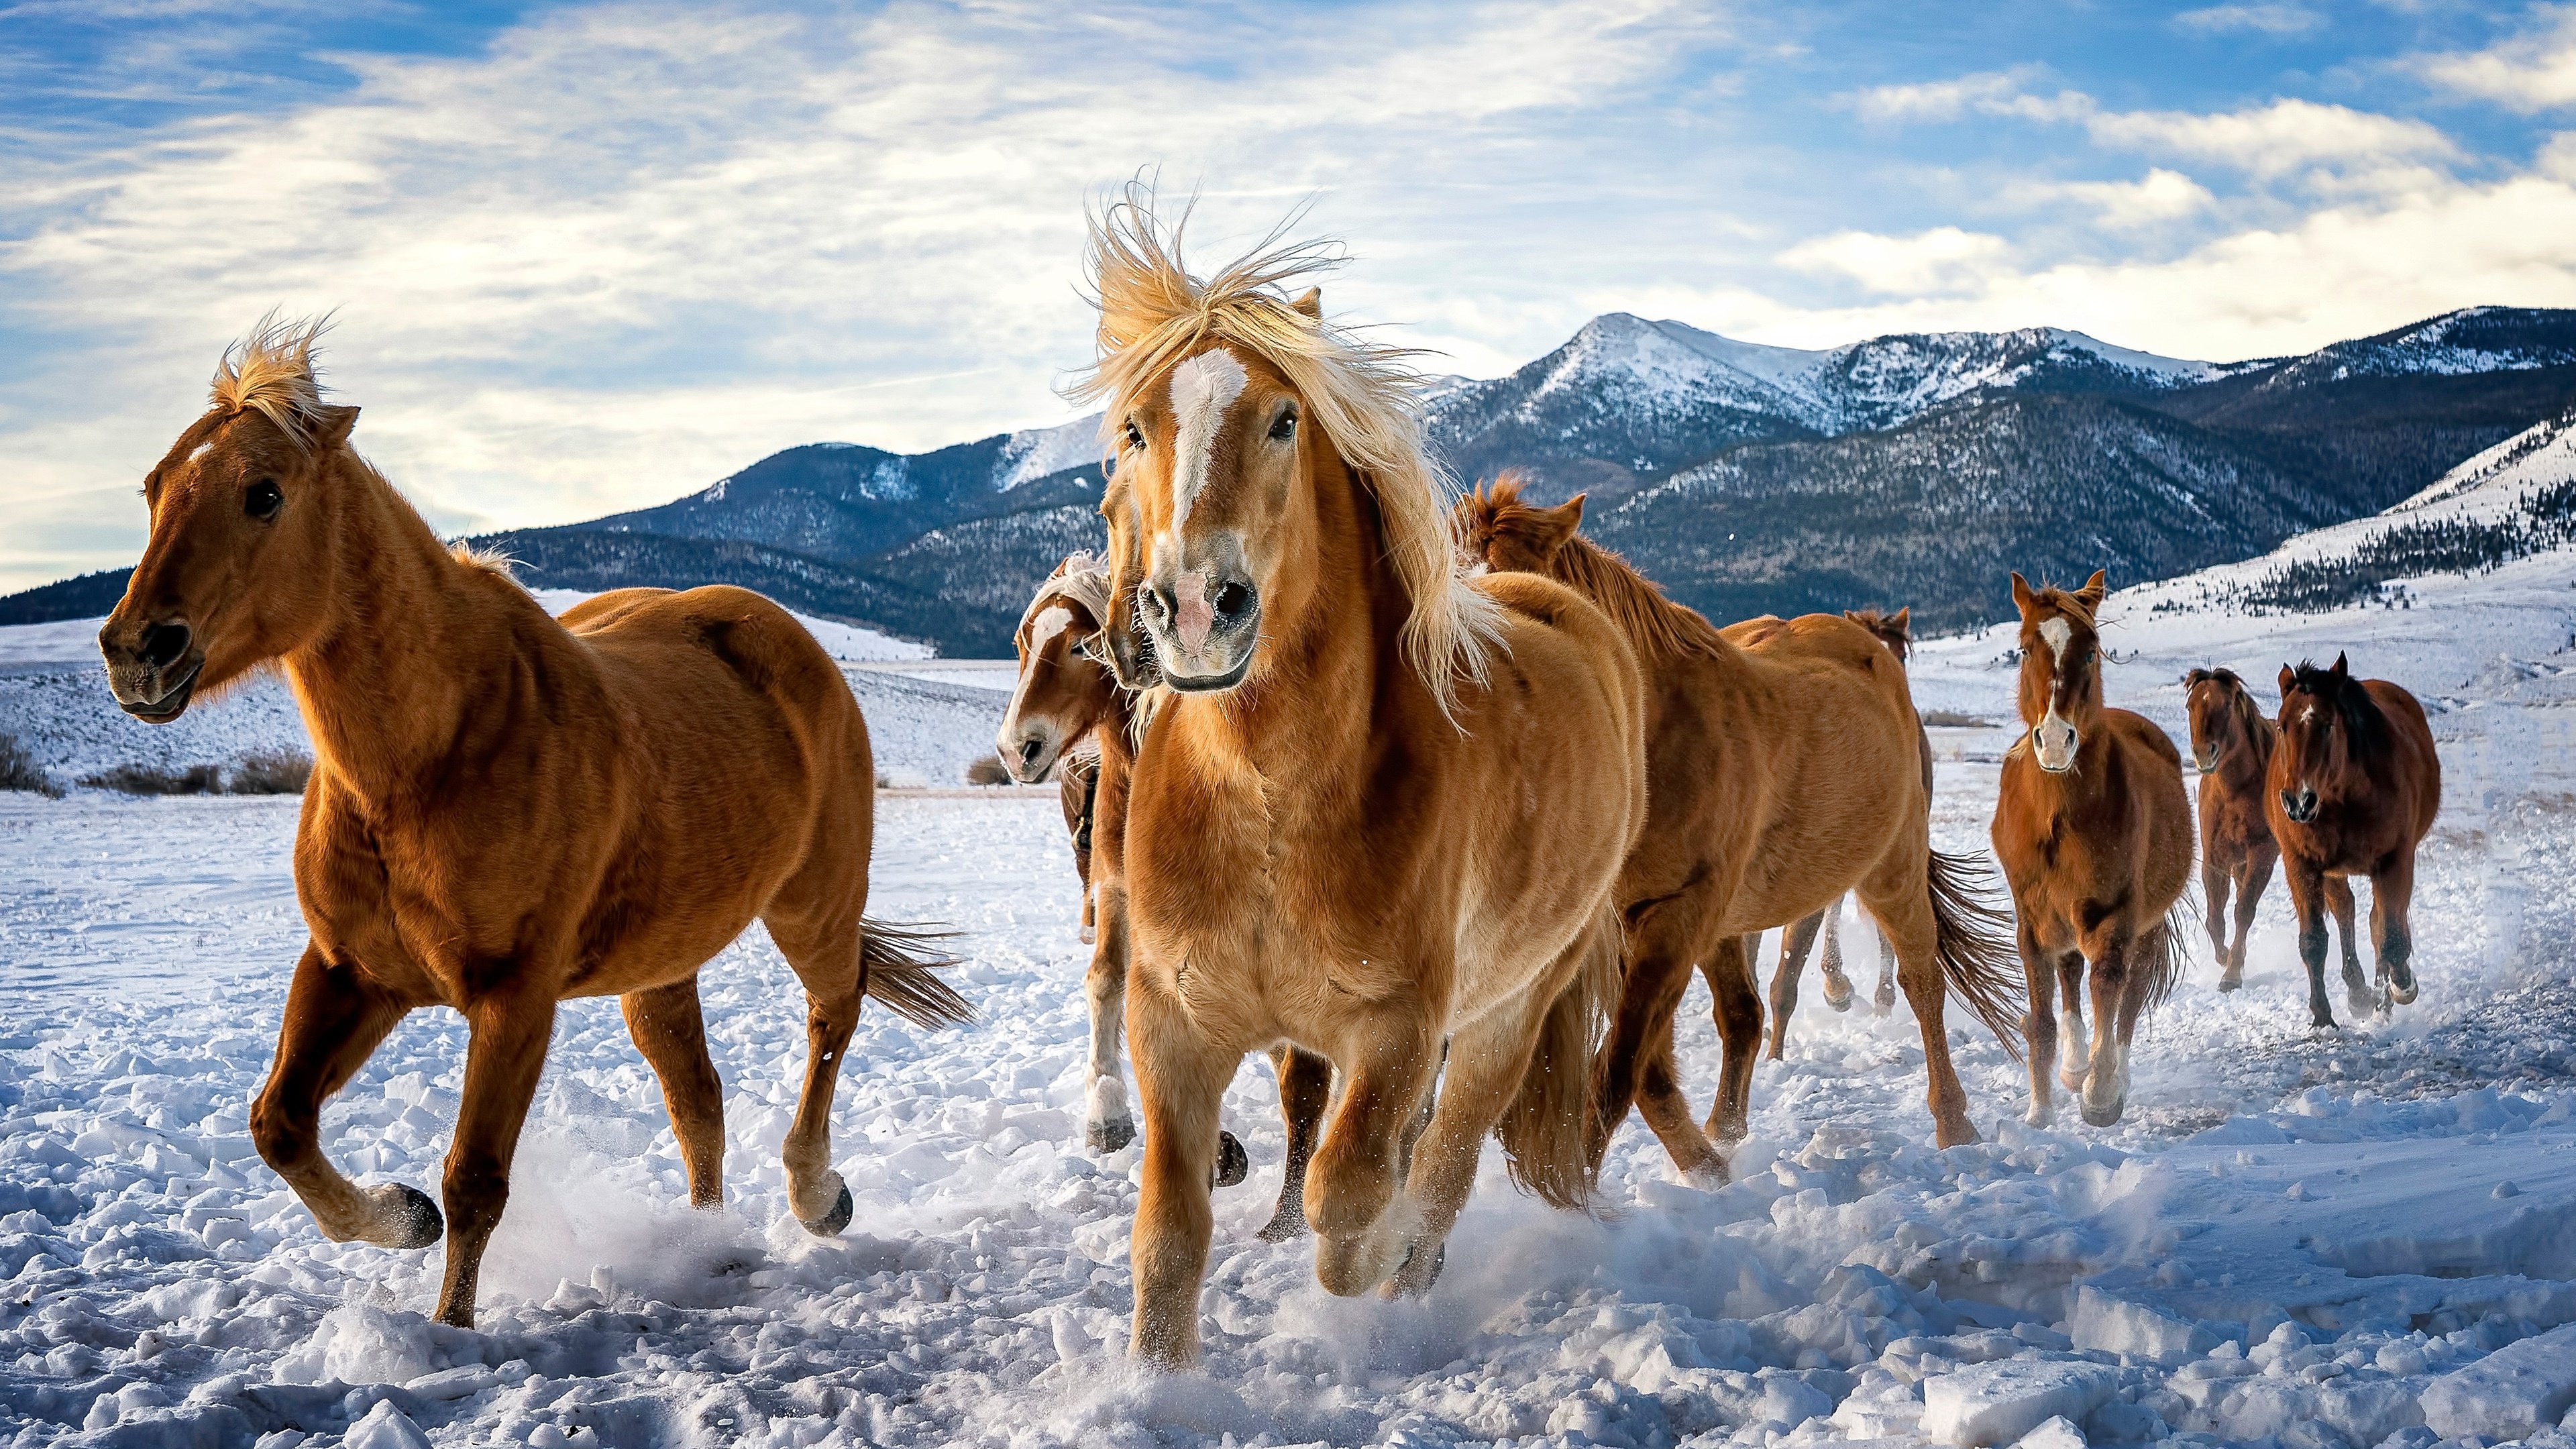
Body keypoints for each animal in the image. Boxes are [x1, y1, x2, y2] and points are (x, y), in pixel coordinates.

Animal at [95, 318, 971, 1327]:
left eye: (264, 494)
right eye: (155, 487)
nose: (136, 652)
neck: (429, 760)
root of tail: (778, 632)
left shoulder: (514, 997)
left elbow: (476, 1177)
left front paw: (450, 1330)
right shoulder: (352, 972)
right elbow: (279, 1125)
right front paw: (402, 1217)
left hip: (812, 906)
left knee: (833, 1016)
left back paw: (817, 1195)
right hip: (660, 966)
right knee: (697, 1100)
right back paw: (707, 1247)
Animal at [993, 554, 1332, 1239]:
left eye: (1078, 646)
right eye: (1021, 643)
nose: (1017, 749)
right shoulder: (1118, 894)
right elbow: (1107, 984)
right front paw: (1110, 1114)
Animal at [1071, 199, 1644, 1368]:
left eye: (1285, 420)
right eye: (1135, 430)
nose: (1192, 608)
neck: (1267, 804)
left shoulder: (1395, 1031)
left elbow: (1348, 1199)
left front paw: (1369, 1267)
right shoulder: (1172, 1025)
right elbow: (1170, 1237)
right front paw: (1158, 1385)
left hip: (1509, 1012)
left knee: (1447, 1162)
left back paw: (1413, 1285)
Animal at [1991, 571, 2191, 1127]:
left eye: (2090, 651)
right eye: (2023, 649)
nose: (2057, 741)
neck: (2057, 817)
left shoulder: (2115, 913)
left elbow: (2109, 987)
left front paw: (2100, 1095)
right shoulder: (2031, 920)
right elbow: (2042, 1018)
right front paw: (2040, 1111)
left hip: (2143, 923)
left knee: (2129, 995)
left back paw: (2110, 1076)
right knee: (2072, 975)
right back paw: (2072, 1068)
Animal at [2269, 654, 2441, 1027]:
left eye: (2328, 725)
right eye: (2282, 727)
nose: (2298, 801)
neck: (2341, 799)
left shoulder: (2395, 860)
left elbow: (2391, 936)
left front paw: (2401, 987)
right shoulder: (2301, 865)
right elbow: (2313, 941)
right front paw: (2323, 1019)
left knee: (2380, 924)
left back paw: (2383, 997)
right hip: (2334, 871)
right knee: (2348, 912)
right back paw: (2360, 993)